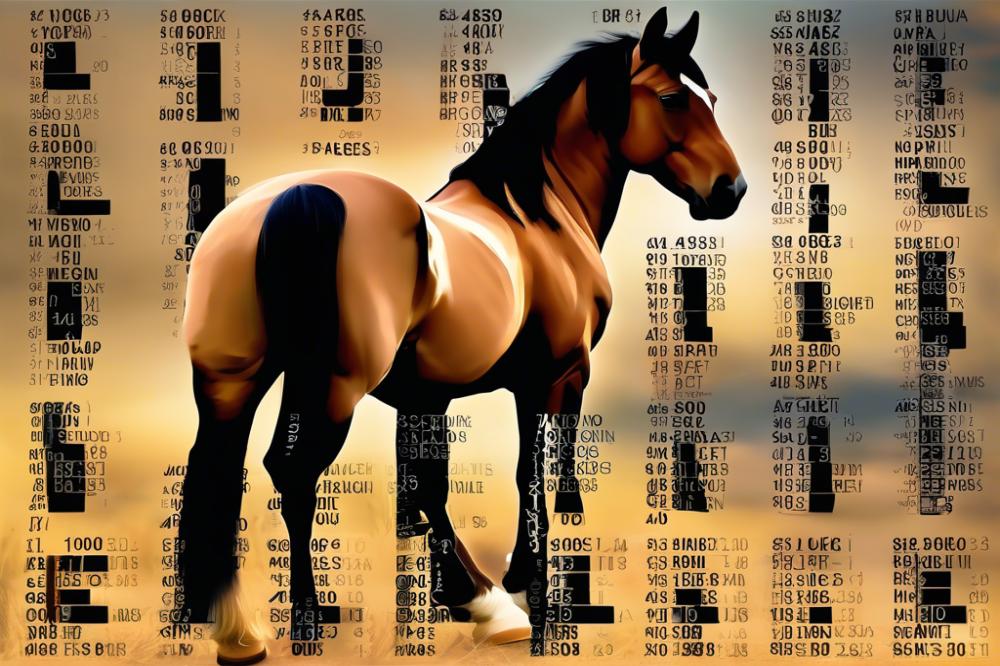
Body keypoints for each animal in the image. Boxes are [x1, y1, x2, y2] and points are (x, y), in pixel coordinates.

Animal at [175, 7, 745, 664]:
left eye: (713, 98)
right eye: (674, 98)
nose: (731, 189)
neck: (541, 213)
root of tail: (293, 197)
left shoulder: (425, 394)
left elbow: (428, 486)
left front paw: (479, 601)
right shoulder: (557, 377)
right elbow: (535, 475)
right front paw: (525, 592)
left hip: (231, 381)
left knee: (213, 467)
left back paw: (233, 629)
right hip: (335, 386)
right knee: (292, 473)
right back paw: (306, 622)